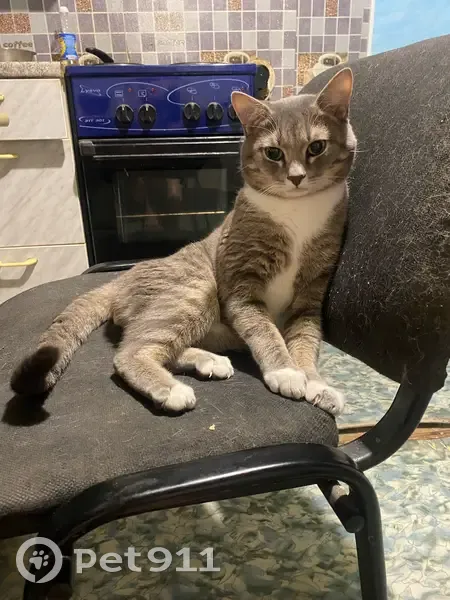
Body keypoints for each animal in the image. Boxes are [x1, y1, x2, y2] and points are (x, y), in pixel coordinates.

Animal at [10, 68, 356, 417]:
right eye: (273, 153)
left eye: (316, 147)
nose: (296, 178)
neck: (298, 211)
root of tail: (120, 280)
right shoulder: (242, 286)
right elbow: (265, 330)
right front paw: (286, 372)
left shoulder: (310, 293)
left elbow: (304, 340)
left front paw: (316, 383)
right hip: (194, 290)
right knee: (131, 351)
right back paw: (171, 389)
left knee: (164, 347)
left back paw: (208, 361)